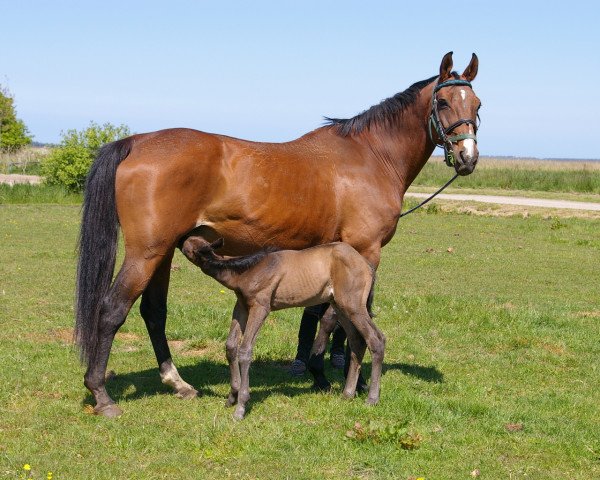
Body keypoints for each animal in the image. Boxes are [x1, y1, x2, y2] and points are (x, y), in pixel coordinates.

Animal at [180, 238, 384, 418]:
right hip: (341, 306)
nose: (180, 240)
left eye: (188, 246)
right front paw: (231, 397)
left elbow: (245, 350)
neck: (246, 270)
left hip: (353, 306)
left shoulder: (261, 306)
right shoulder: (242, 306)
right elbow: (231, 346)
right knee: (357, 341)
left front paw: (241, 406)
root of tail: (367, 265)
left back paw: (372, 398)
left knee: (376, 339)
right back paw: (347, 394)